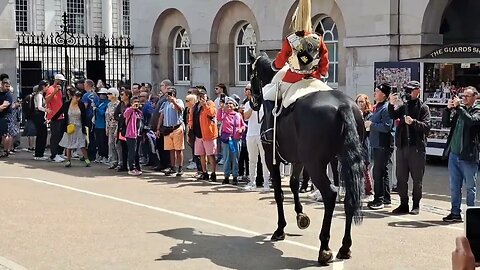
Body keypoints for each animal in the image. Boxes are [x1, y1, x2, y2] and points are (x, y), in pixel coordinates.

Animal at [249, 52, 366, 264]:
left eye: (251, 74)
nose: (254, 102)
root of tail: (343, 106)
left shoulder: (271, 158)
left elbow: (279, 192)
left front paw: (280, 229)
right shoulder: (298, 160)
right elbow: (294, 183)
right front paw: (301, 216)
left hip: (316, 165)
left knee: (330, 194)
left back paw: (324, 248)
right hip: (343, 161)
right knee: (348, 198)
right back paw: (345, 247)